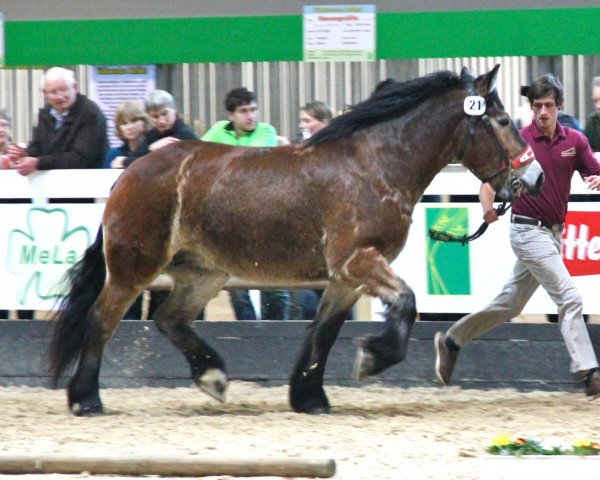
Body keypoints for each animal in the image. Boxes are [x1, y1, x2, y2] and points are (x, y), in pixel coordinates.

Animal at [47, 65, 544, 414]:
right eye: (502, 121)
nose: (534, 178)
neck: (377, 166)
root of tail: (129, 172)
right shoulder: (358, 261)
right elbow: (405, 303)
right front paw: (371, 359)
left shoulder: (346, 278)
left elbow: (323, 331)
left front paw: (309, 397)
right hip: (133, 270)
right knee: (100, 320)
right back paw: (85, 400)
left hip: (204, 274)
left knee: (170, 319)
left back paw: (212, 376)